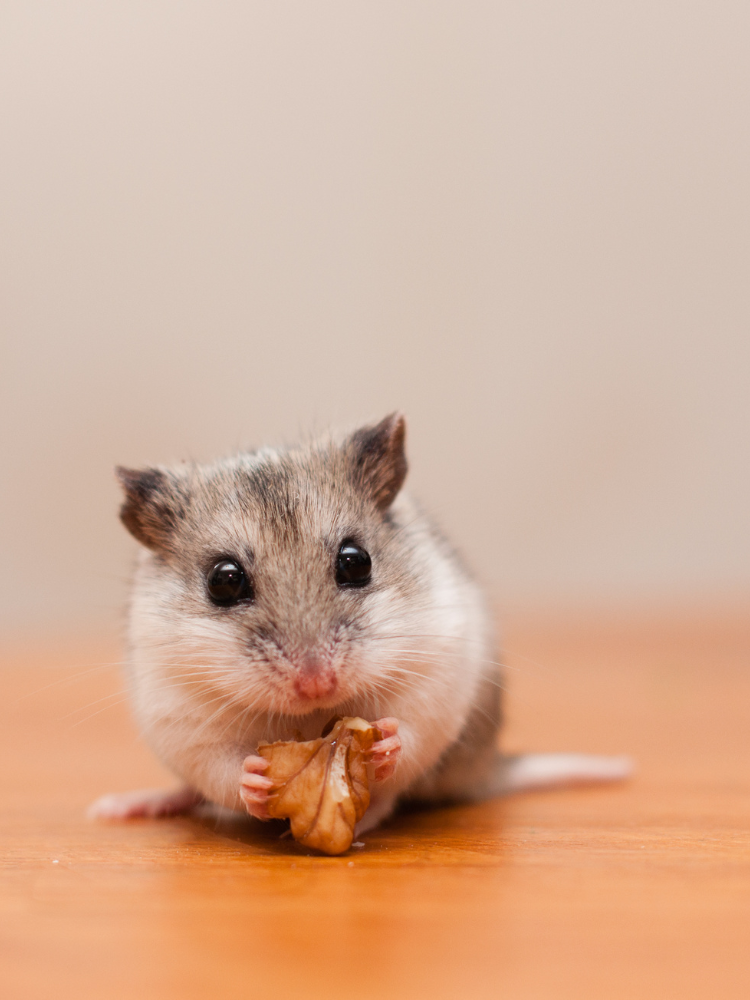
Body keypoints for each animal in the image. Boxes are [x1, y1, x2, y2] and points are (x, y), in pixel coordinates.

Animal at [89, 413, 630, 833]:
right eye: (223, 581)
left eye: (356, 562)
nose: (317, 684)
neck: (311, 716)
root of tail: (486, 770)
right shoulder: (184, 721)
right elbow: (223, 770)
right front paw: (255, 777)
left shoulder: (436, 676)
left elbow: (410, 734)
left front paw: (386, 742)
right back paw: (126, 806)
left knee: (393, 800)